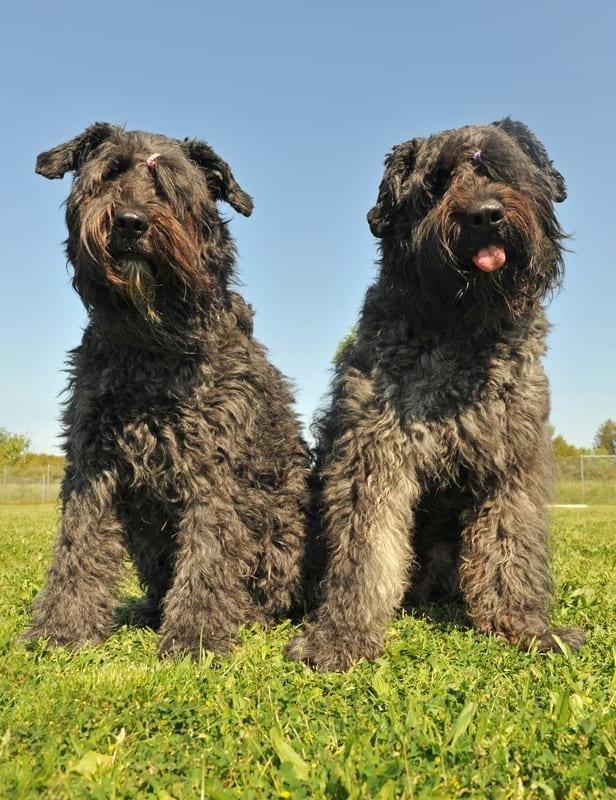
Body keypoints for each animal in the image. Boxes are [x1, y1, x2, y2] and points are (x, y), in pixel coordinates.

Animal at [25, 125, 310, 660]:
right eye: (110, 172)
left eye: (172, 186)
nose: (130, 222)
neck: (151, 344)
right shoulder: (93, 463)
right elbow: (79, 546)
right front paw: (63, 628)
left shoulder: (215, 467)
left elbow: (210, 554)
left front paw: (196, 637)